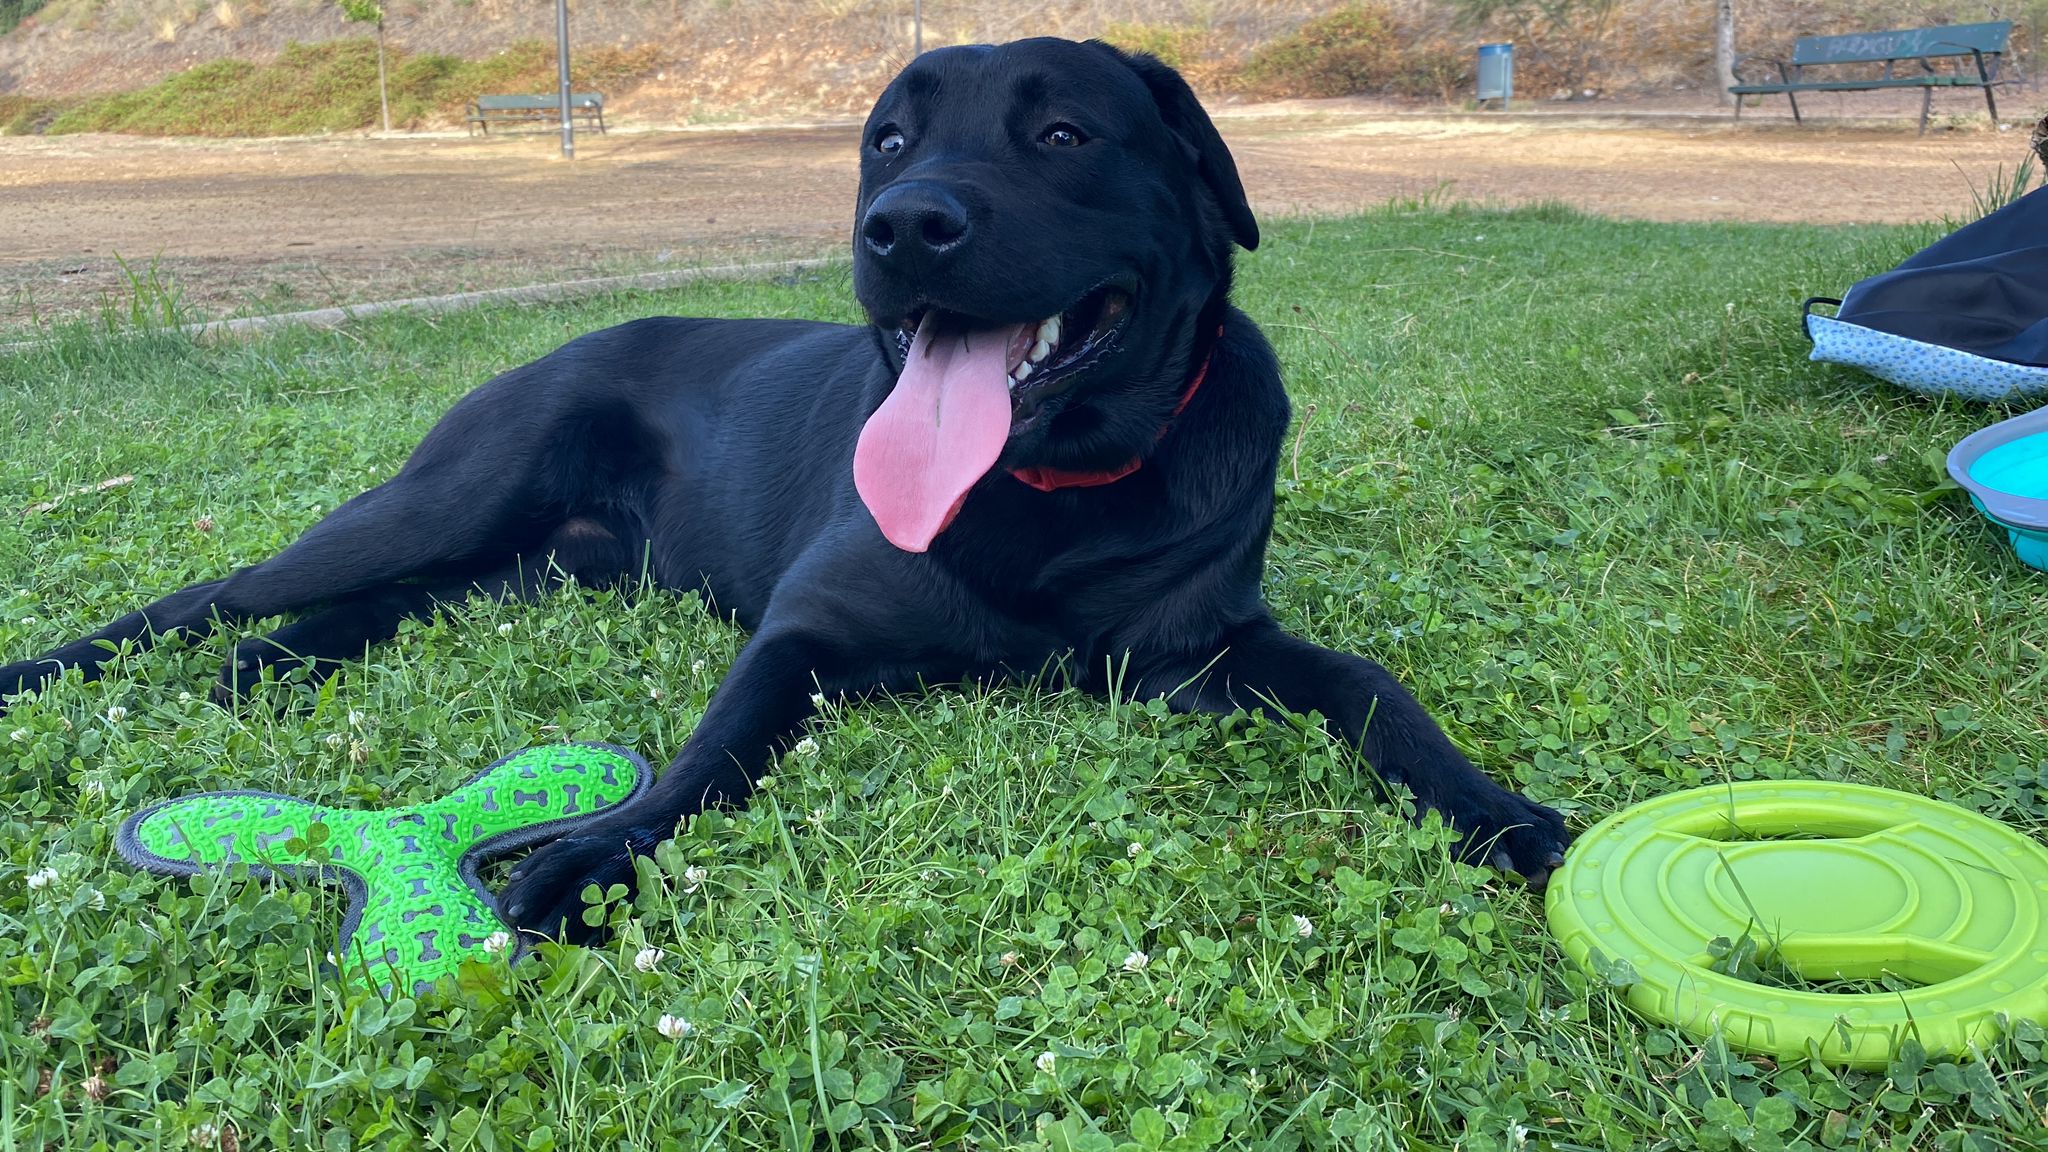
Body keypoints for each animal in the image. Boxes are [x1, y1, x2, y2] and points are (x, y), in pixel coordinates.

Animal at [2, 38, 1569, 940]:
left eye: (1064, 135)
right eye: (886, 140)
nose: (905, 225)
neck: (1048, 493)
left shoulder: (1200, 651)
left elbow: (1370, 684)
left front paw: (1507, 815)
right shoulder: (802, 634)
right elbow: (709, 756)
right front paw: (594, 858)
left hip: (531, 564)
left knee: (384, 604)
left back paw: (270, 669)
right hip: (446, 494)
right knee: (208, 591)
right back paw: (70, 666)